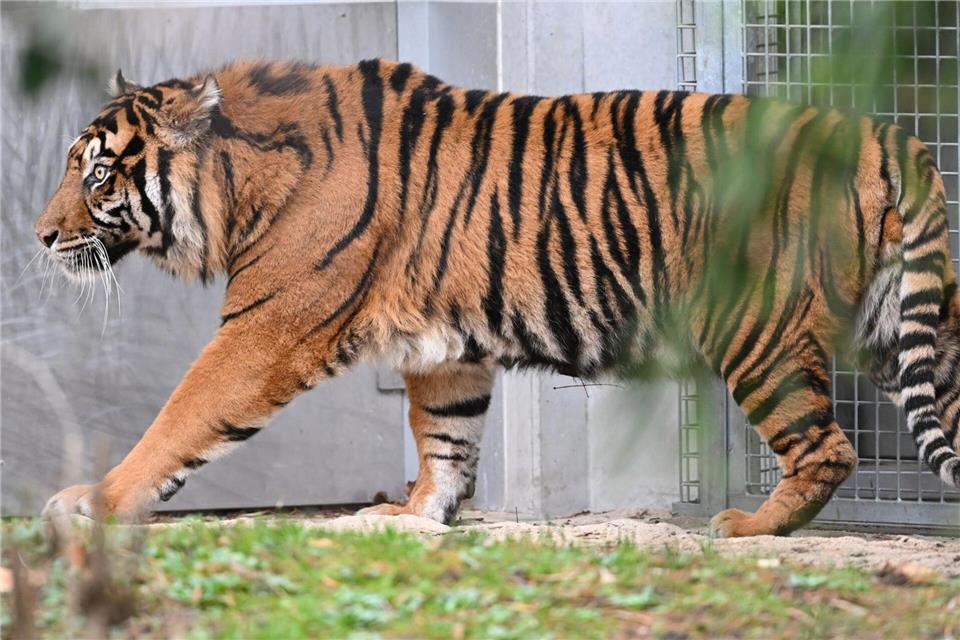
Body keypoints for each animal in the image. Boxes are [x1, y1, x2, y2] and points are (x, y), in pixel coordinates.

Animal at [36, 58, 960, 537]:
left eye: (96, 174)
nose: (41, 237)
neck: (242, 187)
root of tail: (886, 134)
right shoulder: (447, 349)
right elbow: (445, 438)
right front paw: (415, 513)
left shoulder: (264, 330)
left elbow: (179, 419)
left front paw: (91, 501)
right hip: (899, 331)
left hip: (760, 330)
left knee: (826, 447)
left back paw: (748, 529)